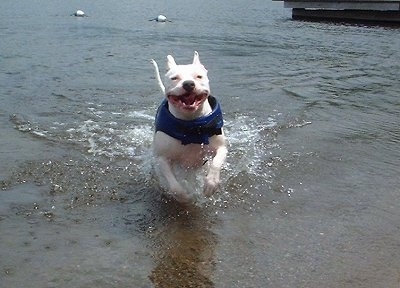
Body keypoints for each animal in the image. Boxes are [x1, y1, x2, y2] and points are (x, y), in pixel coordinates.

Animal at [151, 51, 227, 204]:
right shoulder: (162, 158)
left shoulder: (221, 147)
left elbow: (216, 162)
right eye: (174, 78)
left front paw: (211, 184)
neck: (191, 125)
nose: (188, 84)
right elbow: (174, 186)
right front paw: (184, 197)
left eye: (199, 76)